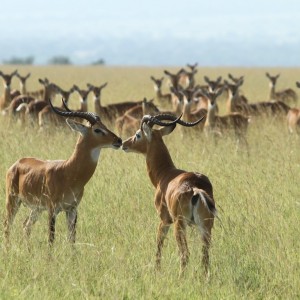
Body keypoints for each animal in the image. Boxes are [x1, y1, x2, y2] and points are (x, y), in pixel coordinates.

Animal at [3, 98, 123, 246]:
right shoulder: (52, 209)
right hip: (12, 200)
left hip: (36, 209)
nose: (118, 140)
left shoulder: (72, 209)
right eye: (97, 129)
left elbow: (72, 239)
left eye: (104, 125)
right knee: (7, 225)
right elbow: (51, 238)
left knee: (26, 226)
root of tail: (17, 163)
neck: (68, 172)